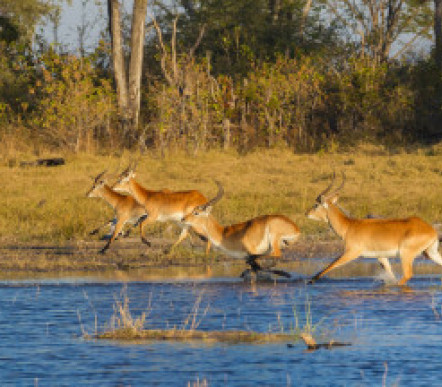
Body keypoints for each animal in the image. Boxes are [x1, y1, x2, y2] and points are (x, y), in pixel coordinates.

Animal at [306, 173, 442, 284]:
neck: (349, 226)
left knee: (408, 275)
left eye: (316, 205)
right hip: (430, 253)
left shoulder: (352, 252)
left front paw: (311, 281)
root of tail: (431, 230)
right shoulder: (380, 256)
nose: (307, 213)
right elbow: (390, 274)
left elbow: (332, 264)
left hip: (406, 254)